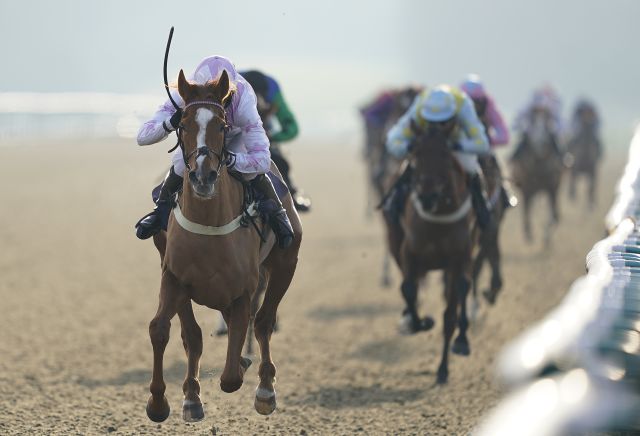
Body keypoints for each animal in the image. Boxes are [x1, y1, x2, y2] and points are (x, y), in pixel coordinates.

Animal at [146, 69, 302, 422]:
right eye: (182, 124)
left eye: (222, 125)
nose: (202, 177)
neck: (208, 226)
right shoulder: (173, 277)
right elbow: (165, 330)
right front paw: (164, 402)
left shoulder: (243, 289)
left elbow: (231, 376)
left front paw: (245, 372)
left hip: (285, 265)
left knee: (263, 323)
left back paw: (265, 389)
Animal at [383, 127, 476, 384]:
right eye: (415, 155)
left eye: (446, 154)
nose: (427, 196)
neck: (438, 220)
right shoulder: (408, 253)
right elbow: (408, 289)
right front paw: (420, 322)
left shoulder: (458, 259)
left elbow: (451, 312)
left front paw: (445, 366)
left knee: (460, 293)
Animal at [510, 110, 564, 246]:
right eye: (531, 128)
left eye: (547, 127)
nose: (541, 144)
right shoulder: (527, 190)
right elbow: (526, 211)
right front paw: (529, 234)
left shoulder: (552, 189)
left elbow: (555, 215)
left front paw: (546, 237)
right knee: (527, 209)